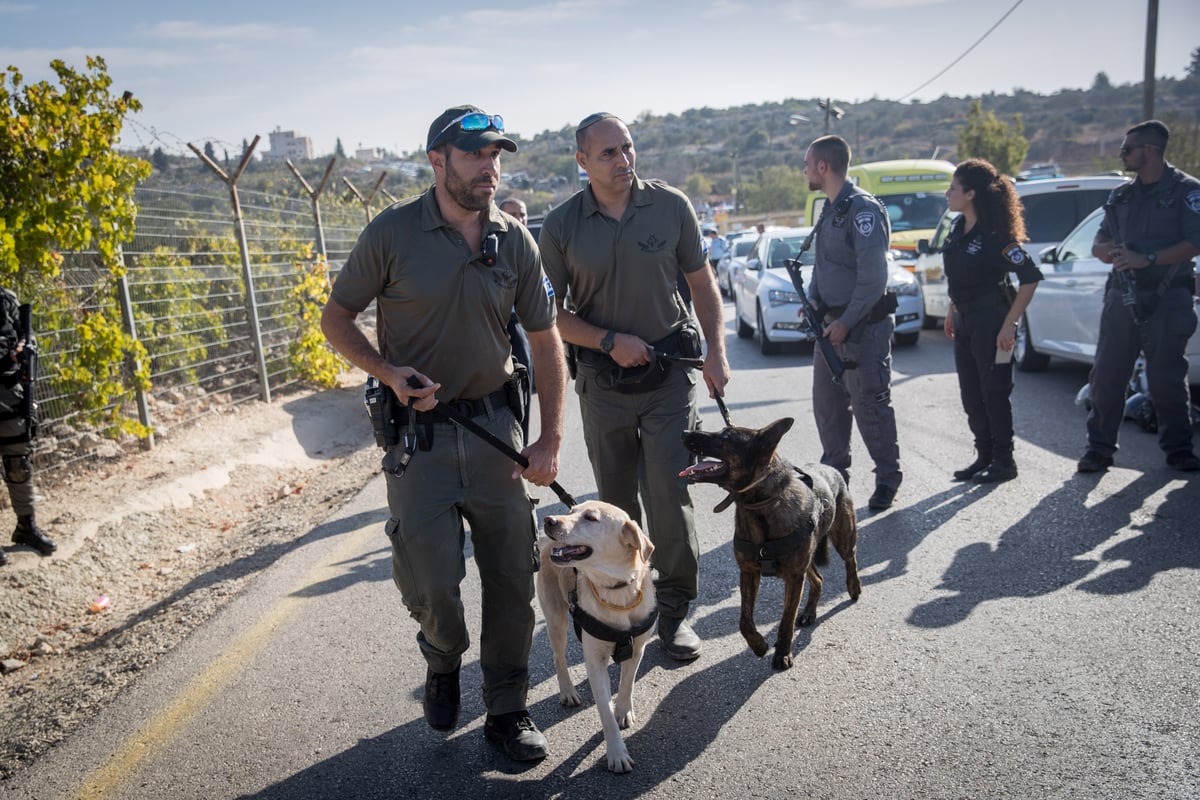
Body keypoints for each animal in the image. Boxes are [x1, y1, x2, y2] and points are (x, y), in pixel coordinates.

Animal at [540, 503, 662, 772]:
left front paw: (624, 711)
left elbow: (627, 684)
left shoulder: (637, 649)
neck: (617, 590)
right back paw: (567, 691)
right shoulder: (595, 661)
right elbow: (605, 713)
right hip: (556, 619)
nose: (548, 520)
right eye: (571, 510)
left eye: (591, 518)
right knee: (557, 658)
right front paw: (616, 753)